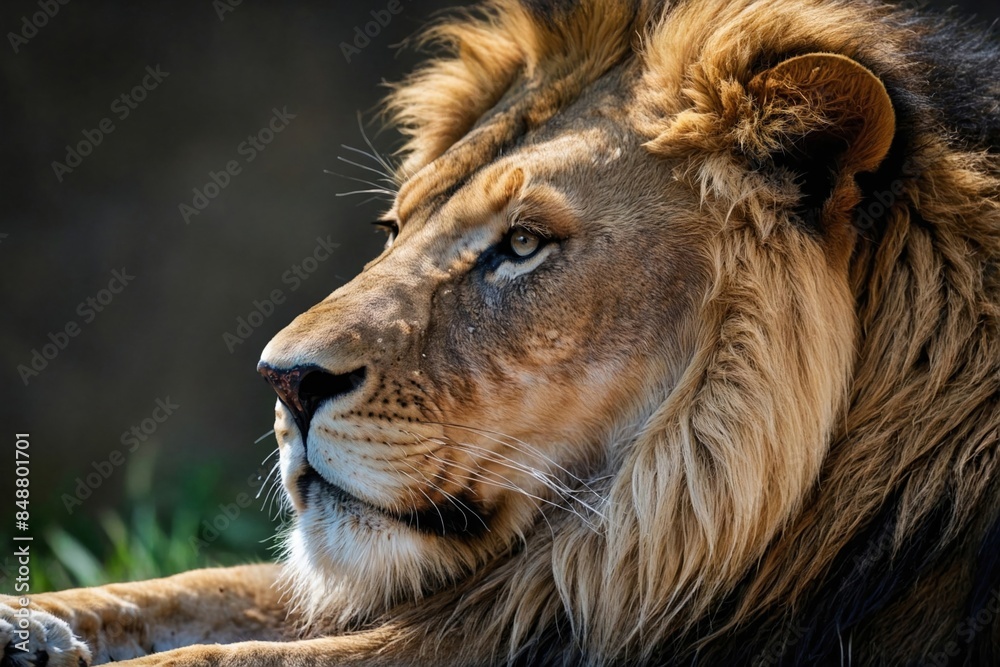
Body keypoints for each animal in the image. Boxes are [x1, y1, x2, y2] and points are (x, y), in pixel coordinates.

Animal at [3, 0, 999, 664]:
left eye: (522, 245)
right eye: (395, 229)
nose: (283, 380)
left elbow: (217, 654)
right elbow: (192, 590)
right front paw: (27, 623)